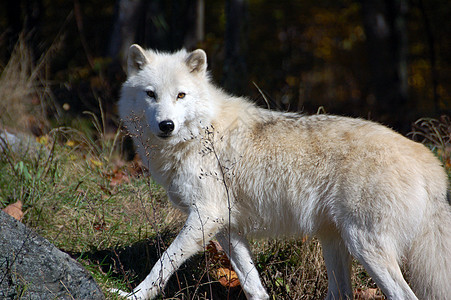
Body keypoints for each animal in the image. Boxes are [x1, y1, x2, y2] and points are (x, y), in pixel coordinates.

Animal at [117, 45, 451, 300]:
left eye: (181, 95)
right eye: (150, 94)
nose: (166, 125)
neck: (199, 134)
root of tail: (428, 160)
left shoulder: (205, 216)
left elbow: (162, 263)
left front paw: (133, 295)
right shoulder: (226, 226)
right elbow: (253, 285)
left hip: (365, 246)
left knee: (402, 295)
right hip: (334, 241)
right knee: (342, 292)